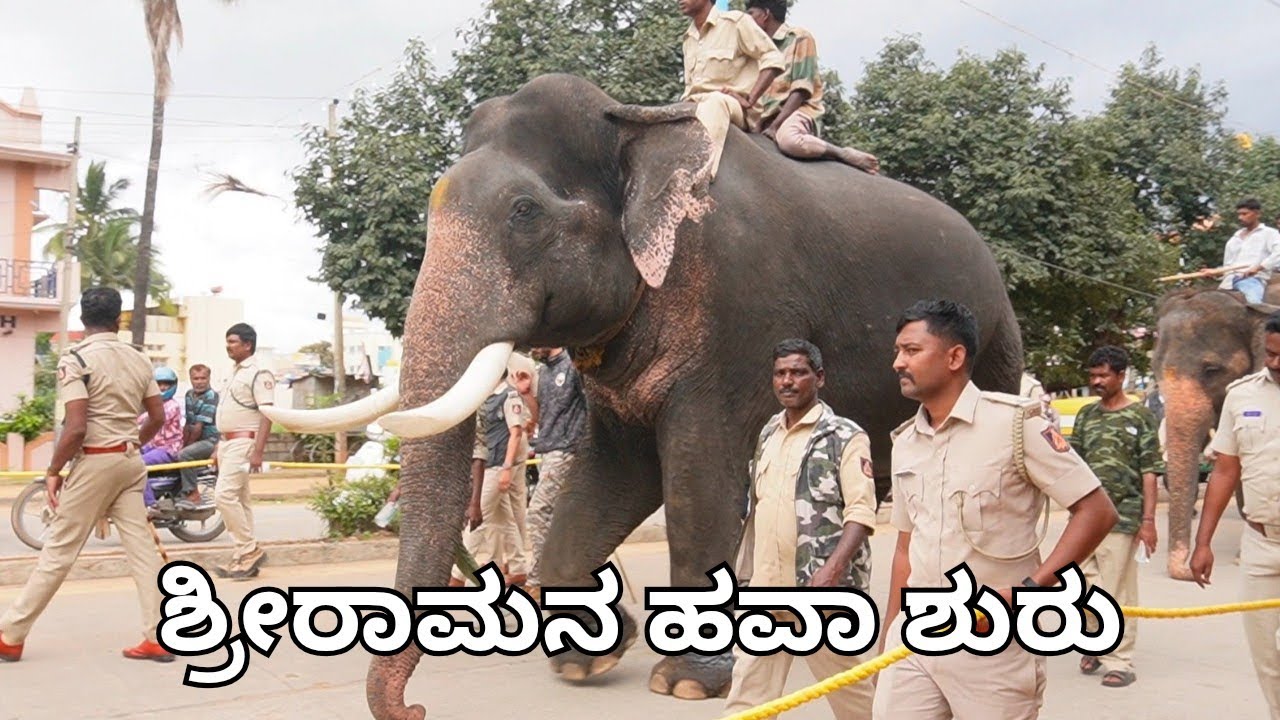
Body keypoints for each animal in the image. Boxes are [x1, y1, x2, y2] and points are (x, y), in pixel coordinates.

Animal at [266, 74, 1025, 720]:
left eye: (524, 212)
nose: (417, 707)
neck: (636, 124)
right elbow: (615, 473)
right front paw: (588, 659)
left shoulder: (741, 315)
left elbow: (695, 480)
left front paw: (686, 682)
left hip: (995, 339)